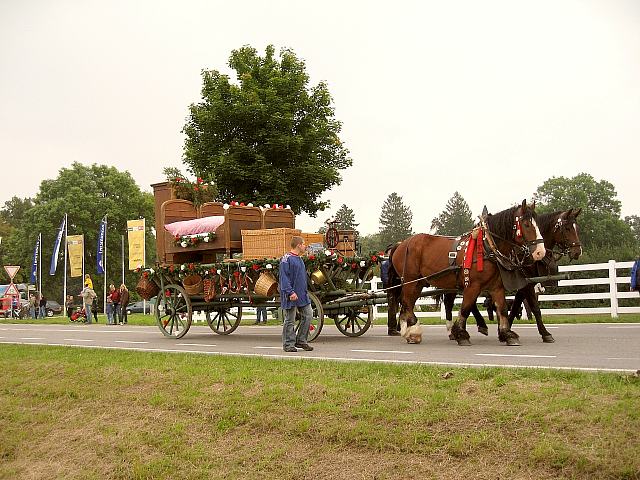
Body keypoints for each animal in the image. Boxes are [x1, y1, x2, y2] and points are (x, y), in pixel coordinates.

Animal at [384, 201, 544, 346]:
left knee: (408, 304)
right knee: (406, 302)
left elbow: (502, 309)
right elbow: (465, 308)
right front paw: (461, 334)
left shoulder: (496, 287)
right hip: (410, 281)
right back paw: (413, 332)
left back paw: (410, 332)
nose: (540, 252)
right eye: (526, 224)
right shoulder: (472, 286)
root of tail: (401, 244)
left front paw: (507, 334)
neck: (486, 247)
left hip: (419, 283)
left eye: (538, 224)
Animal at [440, 208, 580, 344]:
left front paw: (506, 330)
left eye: (576, 227)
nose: (578, 251)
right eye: (567, 228)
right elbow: (534, 308)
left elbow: (515, 306)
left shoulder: (523, 284)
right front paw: (545, 334)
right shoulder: (526, 285)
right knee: (457, 302)